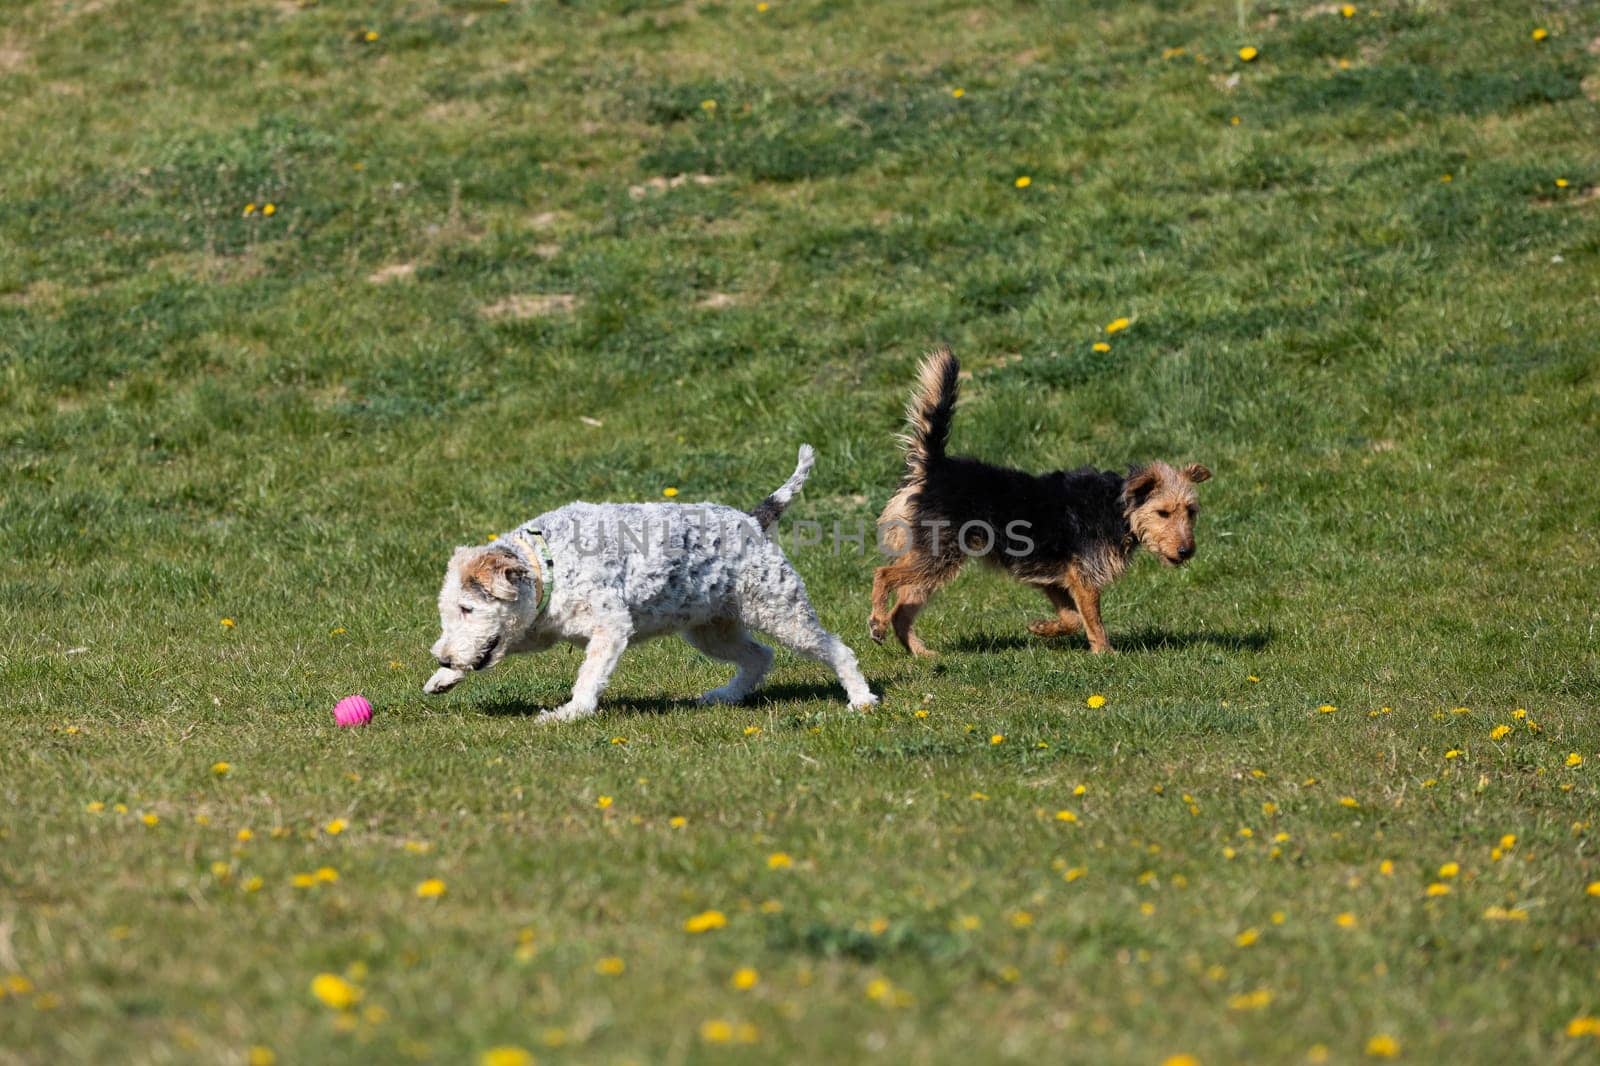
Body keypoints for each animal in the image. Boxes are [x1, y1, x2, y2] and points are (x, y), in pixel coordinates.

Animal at [425, 444, 876, 717]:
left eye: (468, 608)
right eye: (449, 612)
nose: (443, 657)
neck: (549, 565)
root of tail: (753, 520)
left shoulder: (610, 627)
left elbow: (589, 675)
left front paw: (569, 713)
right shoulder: (538, 629)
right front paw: (442, 679)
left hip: (780, 610)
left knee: (838, 650)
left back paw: (862, 700)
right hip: (711, 629)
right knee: (759, 656)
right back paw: (724, 696)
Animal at [876, 344, 1209, 653]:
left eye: (1191, 512)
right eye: (1163, 513)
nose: (1187, 551)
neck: (1119, 509)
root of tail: (935, 466)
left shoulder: (1055, 580)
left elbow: (1073, 619)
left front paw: (1042, 628)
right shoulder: (1084, 579)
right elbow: (1094, 621)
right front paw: (1106, 654)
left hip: (929, 562)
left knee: (902, 611)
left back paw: (920, 653)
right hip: (937, 556)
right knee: (883, 575)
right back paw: (877, 622)